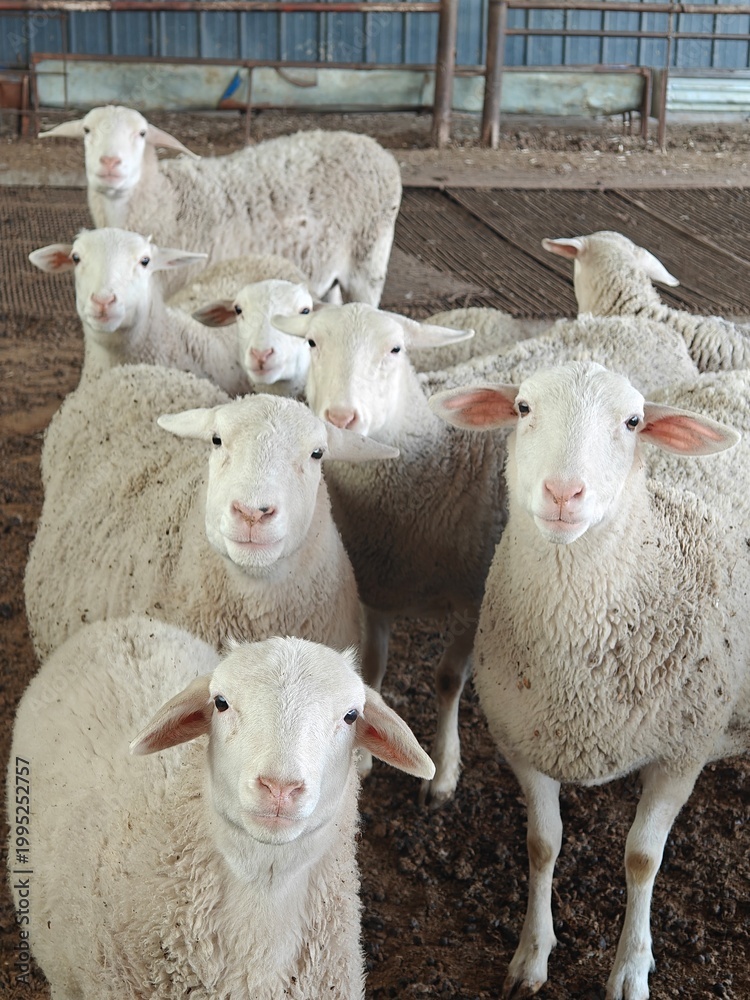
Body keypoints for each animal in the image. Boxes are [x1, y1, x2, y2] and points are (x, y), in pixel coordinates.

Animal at [40, 104, 402, 303]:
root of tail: (373, 146)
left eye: (141, 134)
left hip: (369, 261)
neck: (168, 201)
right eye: (87, 130)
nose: (110, 163)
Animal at [271, 302, 507, 807]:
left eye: (396, 349)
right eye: (312, 342)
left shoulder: (476, 599)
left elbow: (448, 679)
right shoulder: (374, 587)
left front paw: (444, 773)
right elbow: (372, 668)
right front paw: (362, 757)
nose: (341, 417)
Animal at [430, 360, 748, 1000]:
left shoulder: (682, 752)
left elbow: (642, 859)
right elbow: (542, 844)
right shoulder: (524, 743)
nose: (562, 493)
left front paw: (630, 968)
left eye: (633, 422)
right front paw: (531, 956)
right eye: (523, 408)